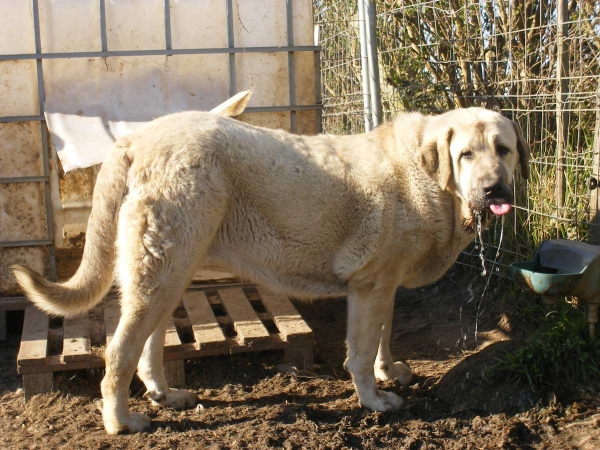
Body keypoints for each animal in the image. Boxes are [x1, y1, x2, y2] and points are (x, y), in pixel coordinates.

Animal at [11, 107, 528, 434]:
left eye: (502, 149)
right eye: (466, 154)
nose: (494, 189)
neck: (429, 177)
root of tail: (135, 138)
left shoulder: (385, 285)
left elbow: (384, 335)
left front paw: (390, 371)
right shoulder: (369, 287)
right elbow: (360, 353)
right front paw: (375, 402)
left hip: (172, 271)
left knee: (148, 346)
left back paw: (167, 395)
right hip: (161, 273)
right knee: (119, 352)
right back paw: (122, 422)